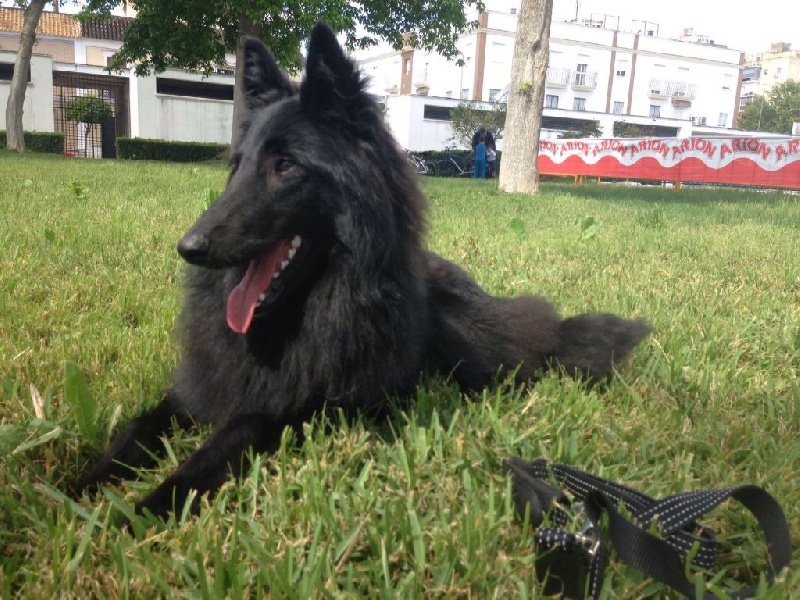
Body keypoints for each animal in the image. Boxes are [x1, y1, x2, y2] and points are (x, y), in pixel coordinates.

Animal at [75, 23, 650, 518]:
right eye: (237, 166)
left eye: (285, 166)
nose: (189, 248)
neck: (290, 319)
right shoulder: (198, 386)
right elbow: (134, 430)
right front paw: (74, 491)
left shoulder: (290, 410)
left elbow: (221, 444)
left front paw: (137, 511)